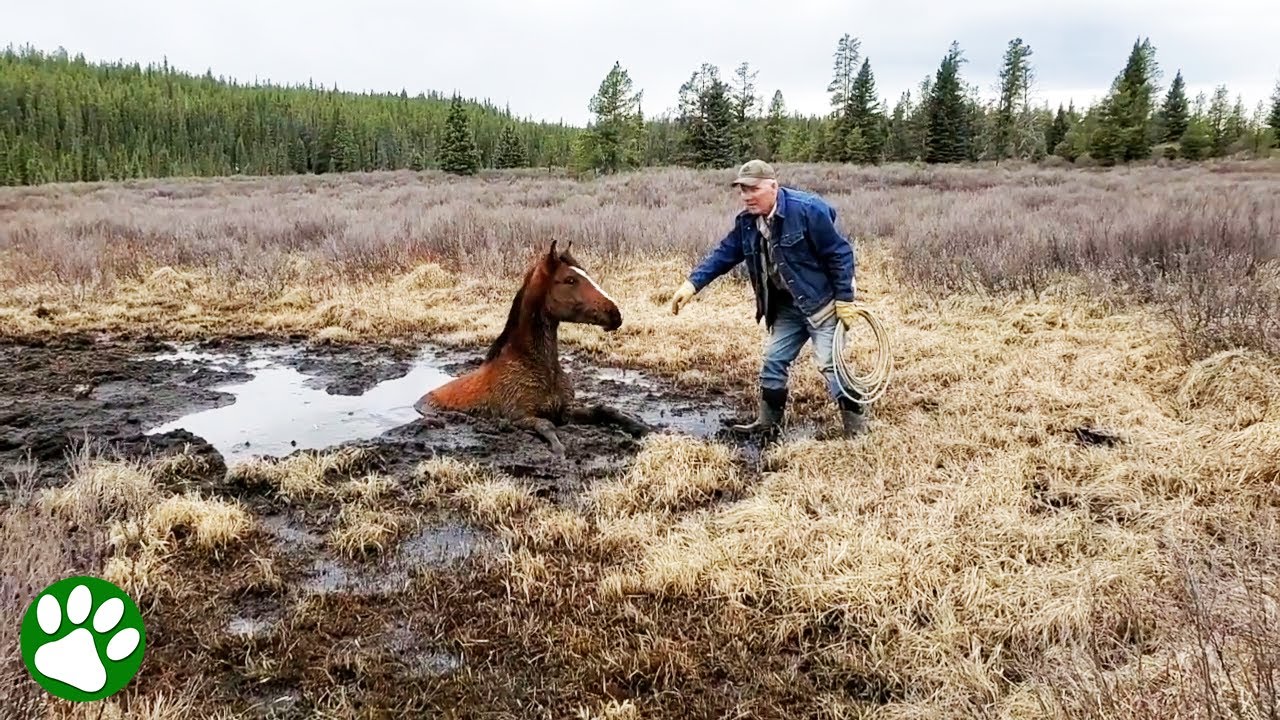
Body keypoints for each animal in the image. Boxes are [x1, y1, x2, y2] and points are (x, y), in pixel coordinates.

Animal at [413, 239, 652, 456]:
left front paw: (641, 428)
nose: (615, 314)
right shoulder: (520, 417)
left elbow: (603, 410)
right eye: (570, 279)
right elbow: (546, 425)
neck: (537, 366)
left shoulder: (564, 412)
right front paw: (558, 449)